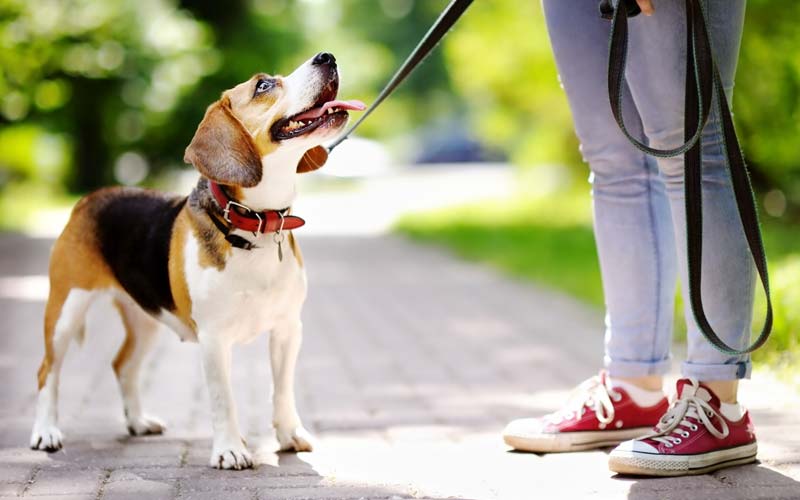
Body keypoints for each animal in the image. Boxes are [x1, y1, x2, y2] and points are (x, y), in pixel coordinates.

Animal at [28, 51, 366, 468]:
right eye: (263, 85)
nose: (327, 57)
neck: (255, 224)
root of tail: (90, 198)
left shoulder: (288, 329)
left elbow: (282, 389)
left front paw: (289, 434)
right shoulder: (214, 338)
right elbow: (224, 399)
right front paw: (231, 450)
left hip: (145, 319)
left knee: (123, 366)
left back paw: (138, 421)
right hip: (65, 310)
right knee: (47, 371)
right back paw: (45, 432)